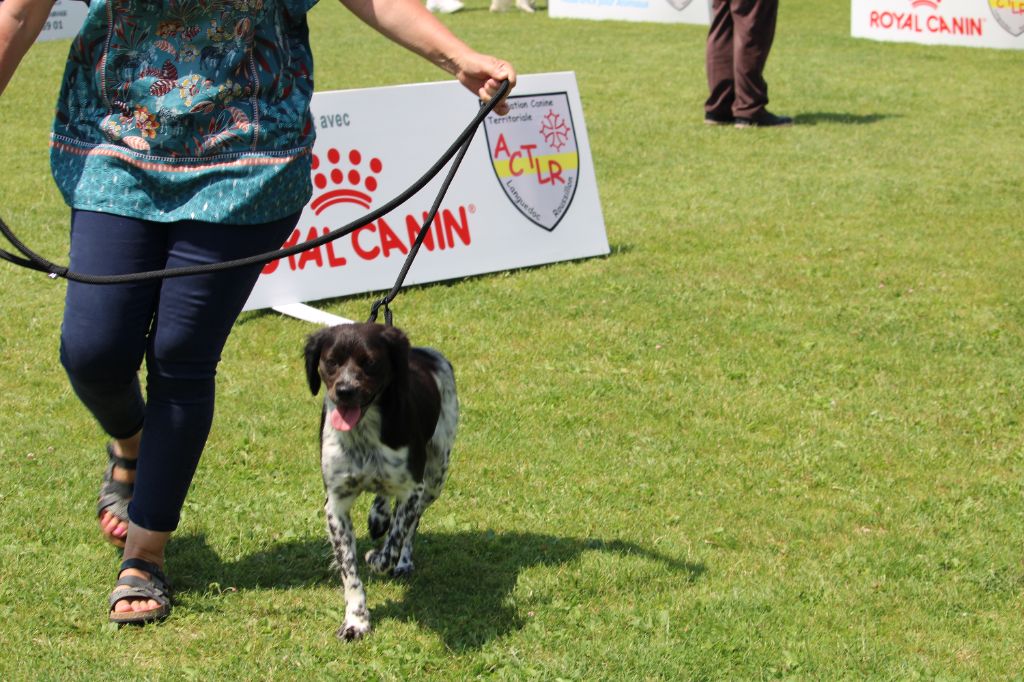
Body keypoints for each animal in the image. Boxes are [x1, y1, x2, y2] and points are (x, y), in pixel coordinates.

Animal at [301, 319, 458, 638]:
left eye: (370, 362)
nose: (345, 390)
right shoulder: (335, 504)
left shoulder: (413, 488)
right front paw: (356, 620)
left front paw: (379, 558)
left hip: (435, 477)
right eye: (331, 361)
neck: (364, 434)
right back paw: (378, 516)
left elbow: (394, 541)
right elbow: (349, 572)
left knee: (412, 522)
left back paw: (403, 558)